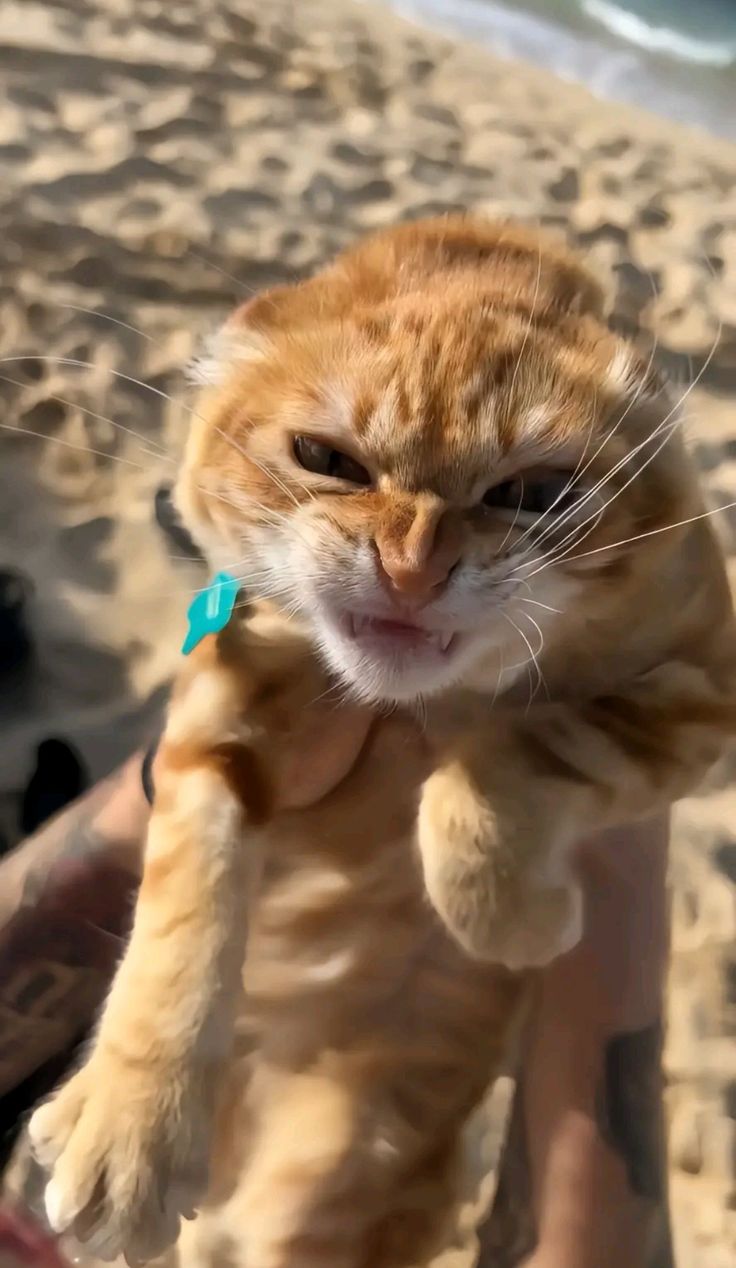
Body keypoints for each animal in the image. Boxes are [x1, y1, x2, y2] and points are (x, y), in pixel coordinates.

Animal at [28, 220, 736, 1268]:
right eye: (328, 458)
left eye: (532, 491)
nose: (410, 571)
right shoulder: (223, 712)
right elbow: (186, 908)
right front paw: (131, 1125)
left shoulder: (700, 693)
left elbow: (497, 768)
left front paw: (519, 921)